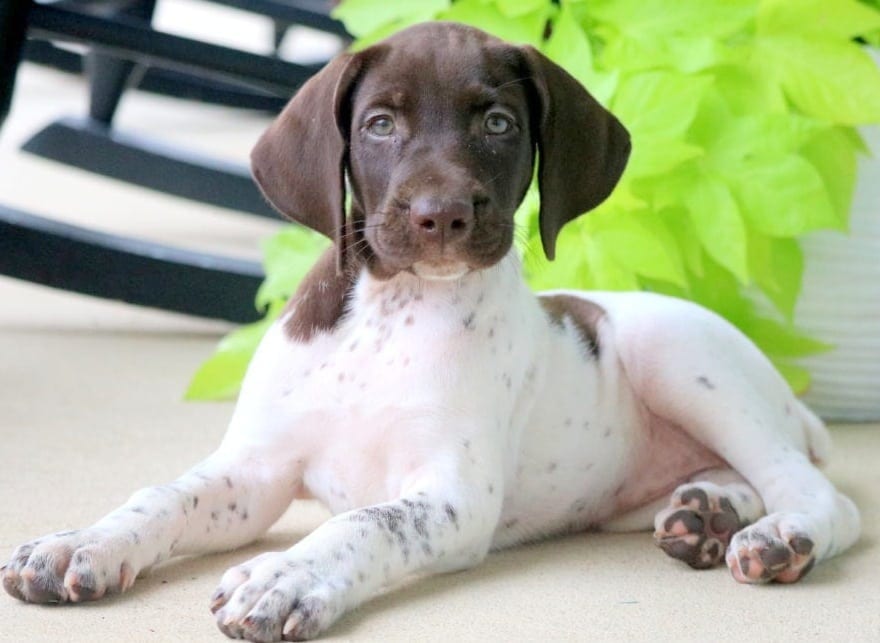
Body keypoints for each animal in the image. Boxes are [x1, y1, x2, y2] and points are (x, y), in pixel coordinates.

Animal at [3, 21, 864, 643]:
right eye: (380, 124)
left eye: (499, 122)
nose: (440, 215)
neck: (393, 312)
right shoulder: (254, 472)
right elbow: (163, 496)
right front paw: (80, 542)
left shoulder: (452, 495)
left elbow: (362, 522)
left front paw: (285, 576)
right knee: (749, 473)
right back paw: (707, 512)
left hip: (680, 359)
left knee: (816, 490)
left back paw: (781, 536)